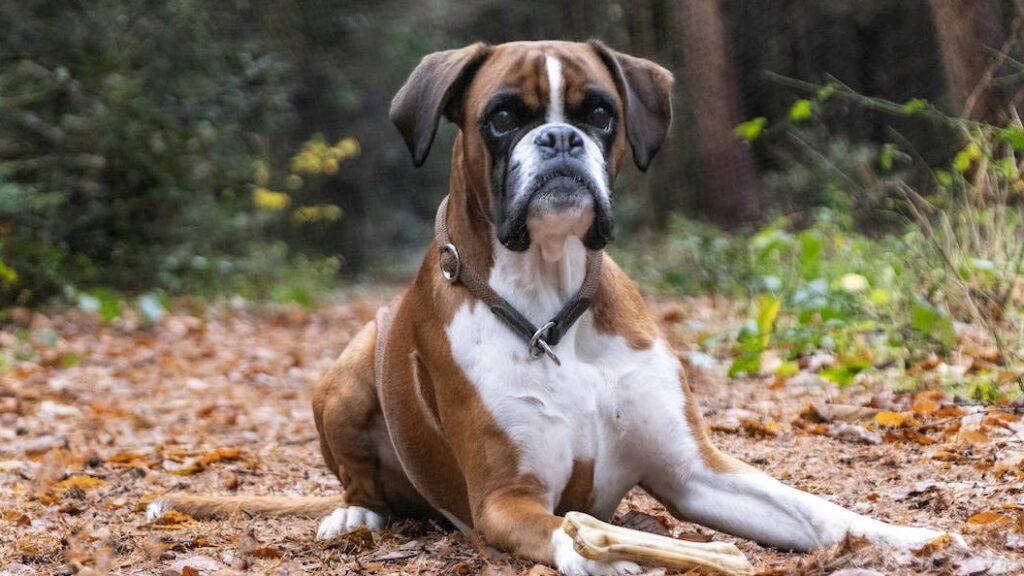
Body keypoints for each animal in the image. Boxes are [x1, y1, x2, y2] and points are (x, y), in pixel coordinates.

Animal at [149, 39, 958, 569]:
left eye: (601, 113)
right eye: (503, 118)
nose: (562, 137)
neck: (549, 307)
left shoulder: (695, 472)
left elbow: (809, 507)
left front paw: (902, 536)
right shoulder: (506, 500)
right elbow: (564, 532)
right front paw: (611, 553)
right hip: (350, 365)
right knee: (358, 479)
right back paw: (355, 513)